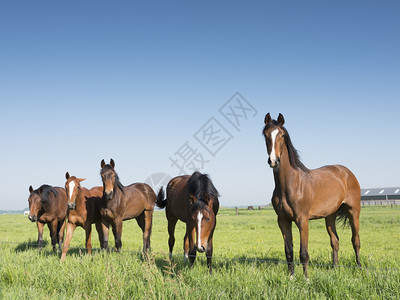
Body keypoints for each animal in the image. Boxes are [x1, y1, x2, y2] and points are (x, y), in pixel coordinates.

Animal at [264, 113, 360, 278]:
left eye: (282, 135)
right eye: (265, 135)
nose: (274, 161)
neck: (290, 184)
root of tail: (347, 172)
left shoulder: (302, 220)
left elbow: (303, 253)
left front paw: (306, 279)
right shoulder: (283, 220)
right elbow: (289, 252)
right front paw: (291, 277)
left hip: (353, 211)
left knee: (356, 241)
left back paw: (361, 269)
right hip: (330, 215)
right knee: (335, 240)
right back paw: (335, 268)